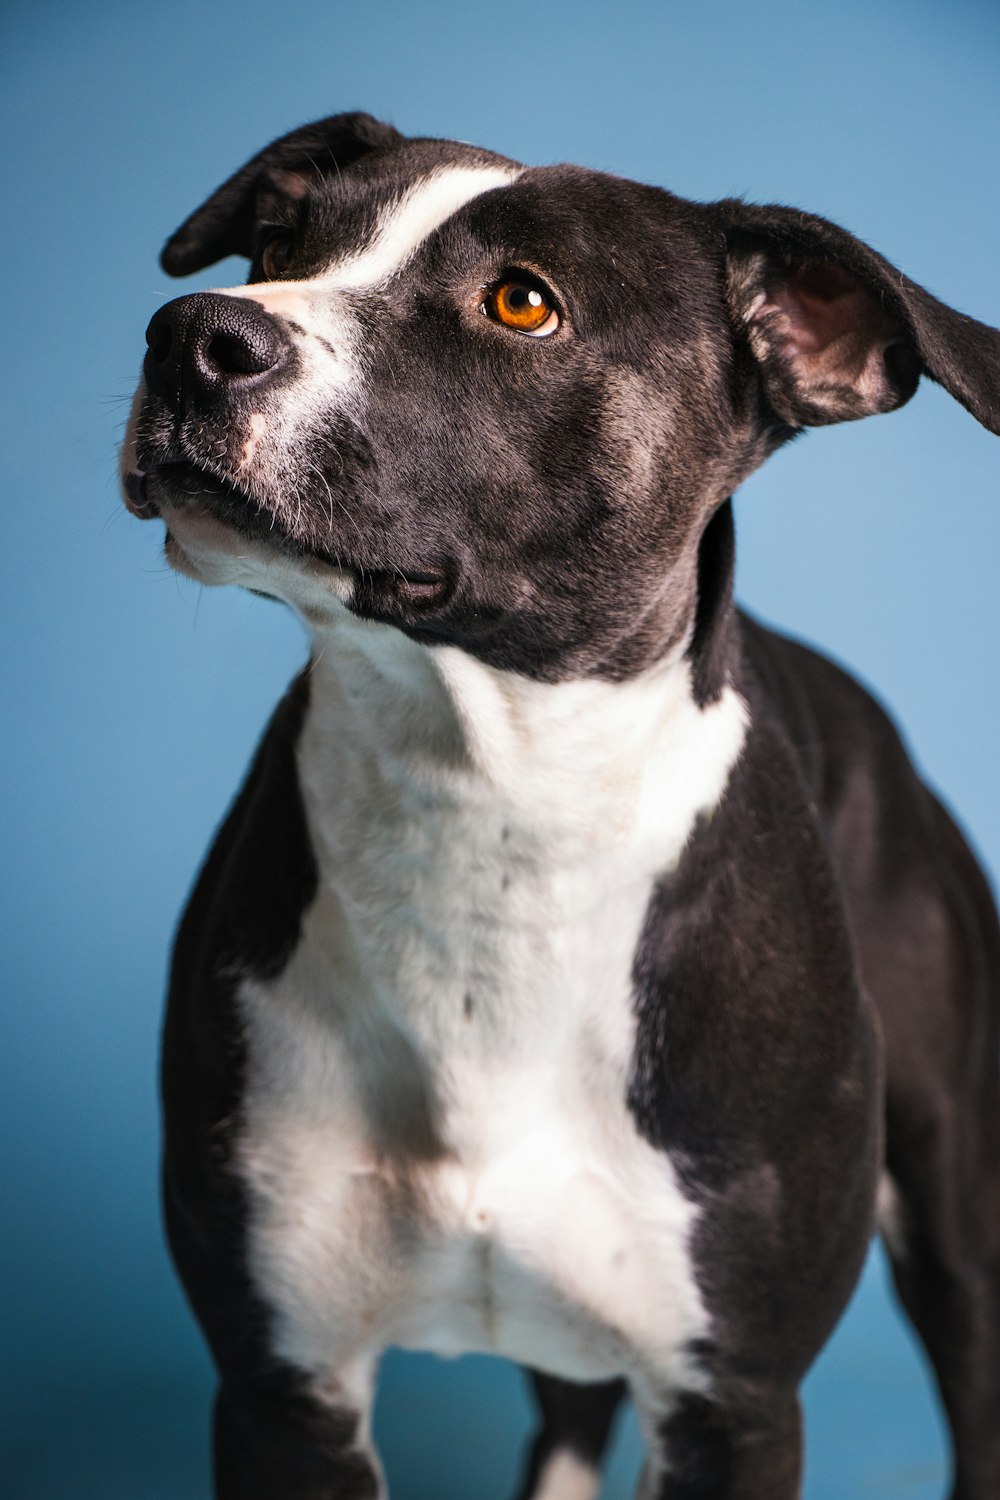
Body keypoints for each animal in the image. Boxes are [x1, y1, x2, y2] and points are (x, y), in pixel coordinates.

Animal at [119, 111, 1000, 1494]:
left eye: (521, 303)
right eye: (277, 243)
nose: (192, 333)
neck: (486, 805)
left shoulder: (738, 1403)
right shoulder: (281, 1387)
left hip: (956, 1201)